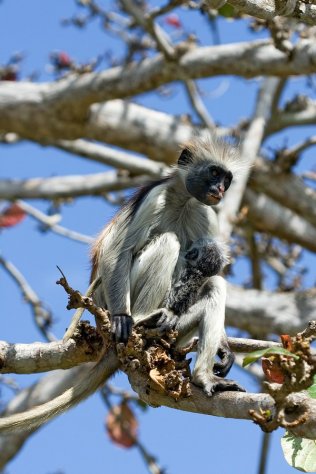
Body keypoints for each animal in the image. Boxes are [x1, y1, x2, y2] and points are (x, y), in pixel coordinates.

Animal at [0, 135, 247, 432]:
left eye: (227, 179)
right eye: (214, 173)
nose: (220, 189)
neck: (183, 200)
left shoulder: (206, 212)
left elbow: (209, 270)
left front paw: (223, 349)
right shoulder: (155, 197)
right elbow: (116, 253)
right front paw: (122, 317)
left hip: (178, 331)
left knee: (214, 286)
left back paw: (201, 376)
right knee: (167, 242)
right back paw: (139, 320)